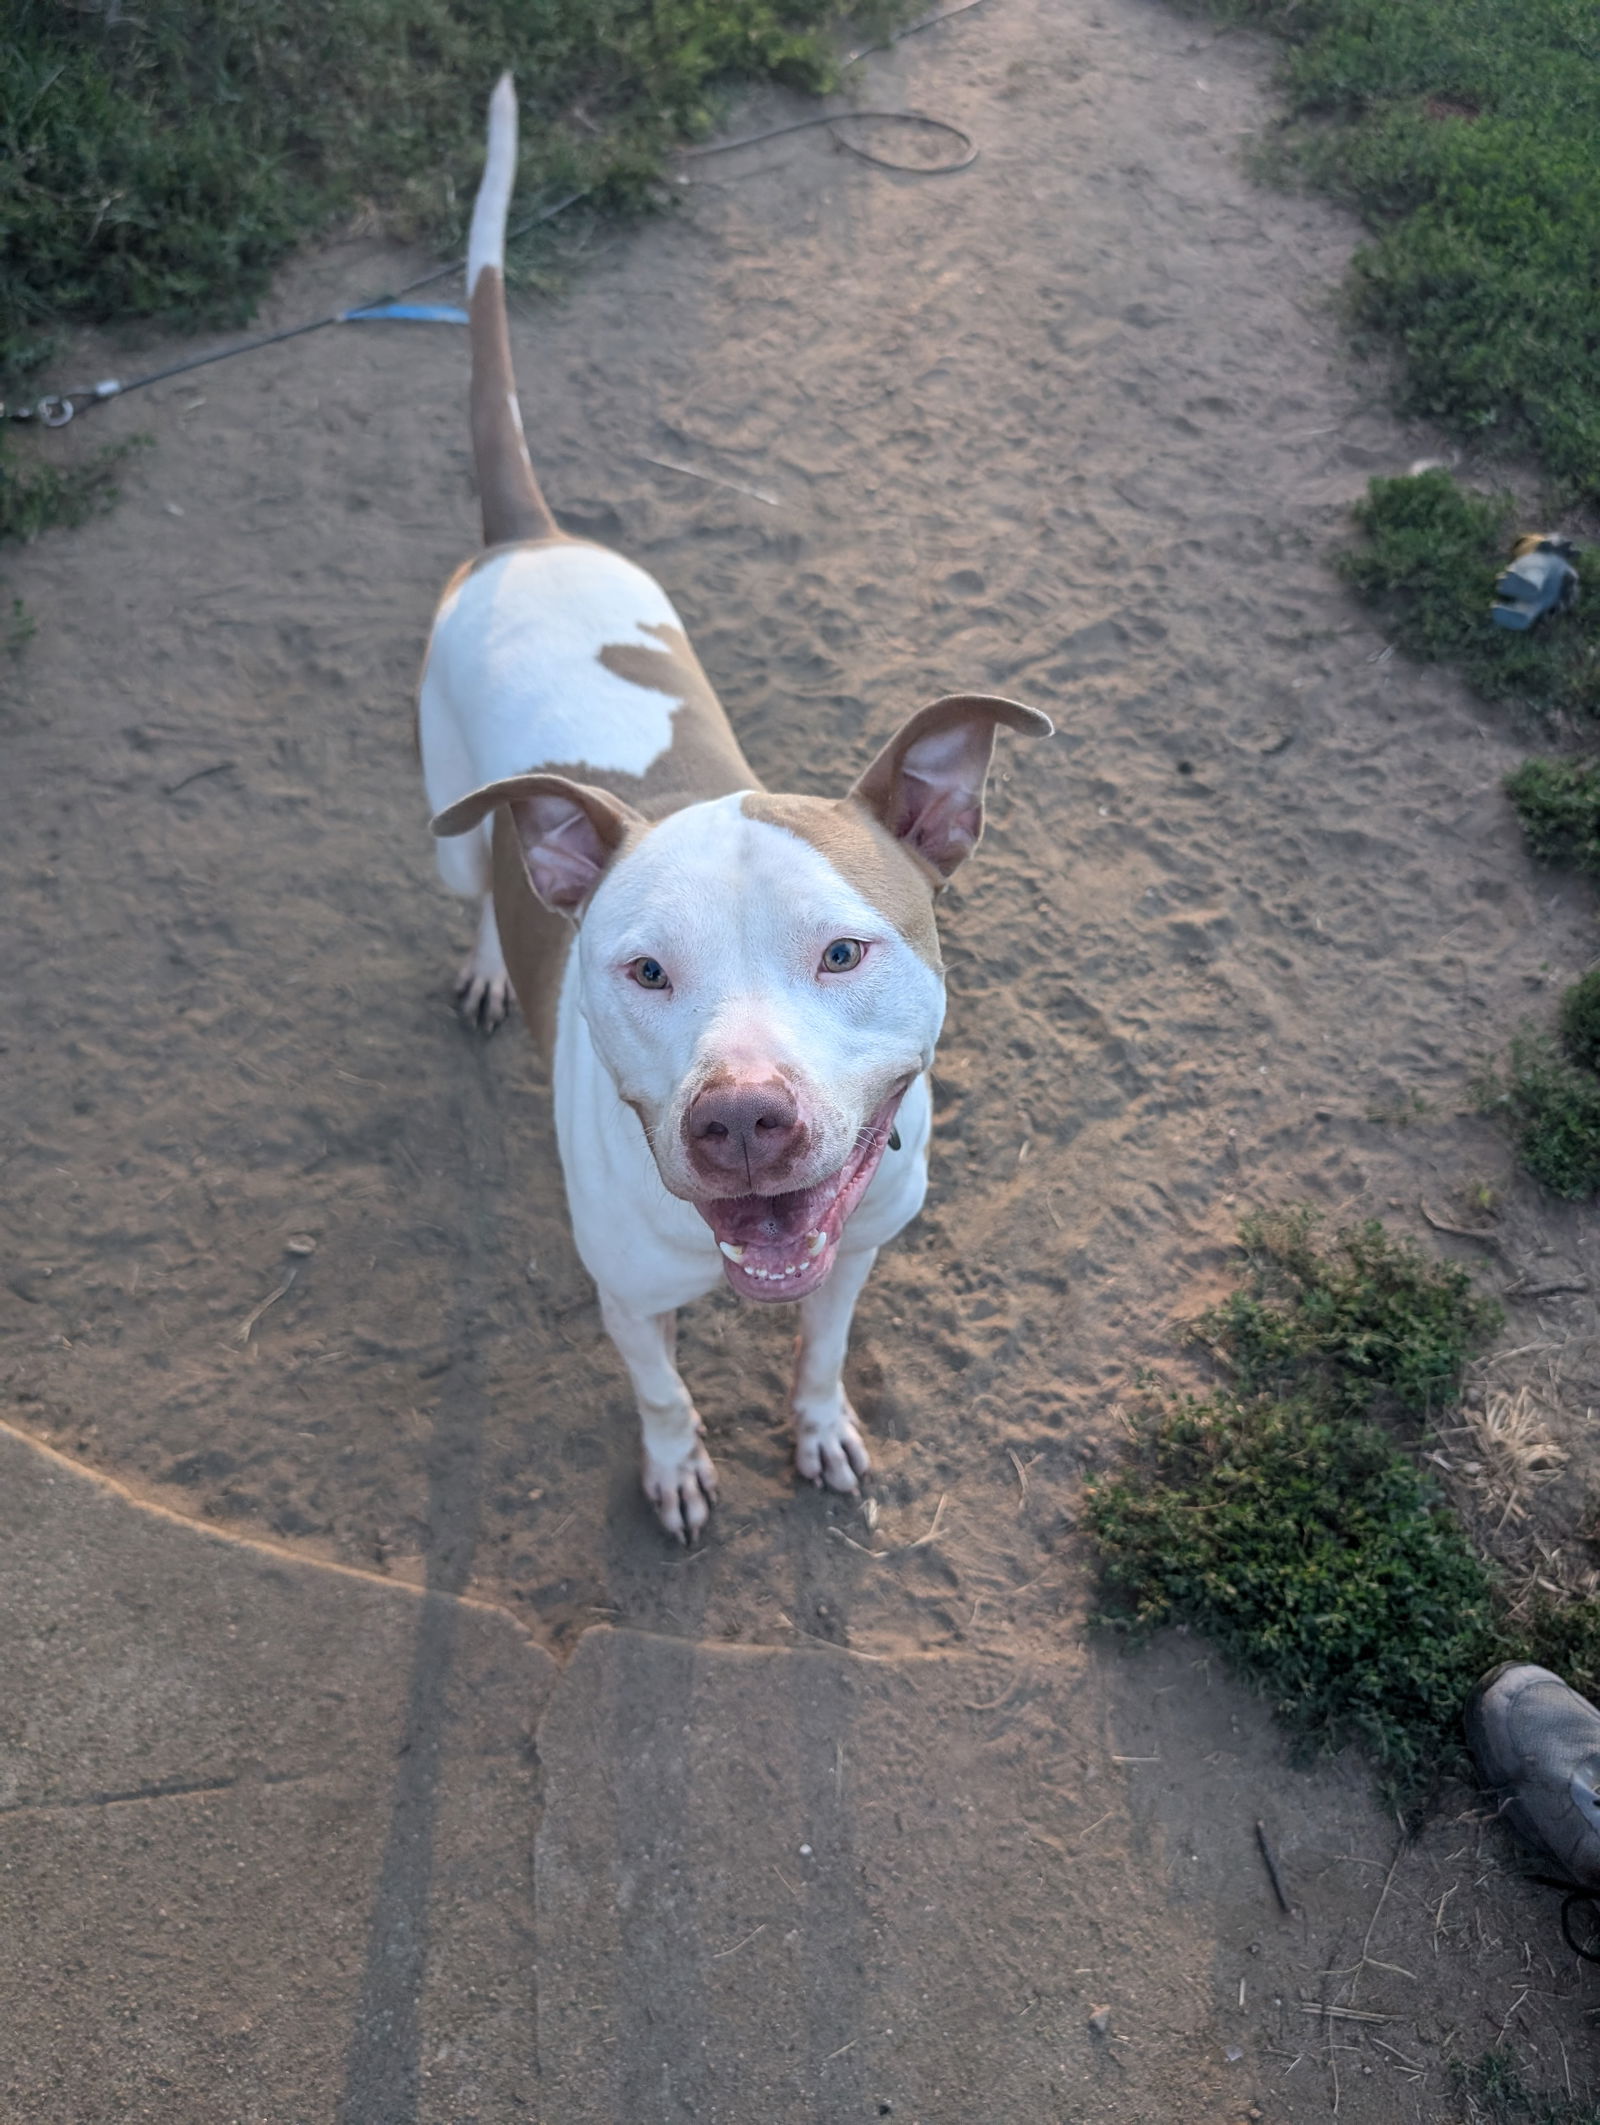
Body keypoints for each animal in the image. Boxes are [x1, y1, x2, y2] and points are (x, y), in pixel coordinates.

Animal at [418, 78, 1053, 1547]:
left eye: (846, 949)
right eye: (643, 970)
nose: (742, 1121)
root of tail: (529, 536)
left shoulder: (856, 1248)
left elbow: (822, 1350)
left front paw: (818, 1430)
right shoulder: (626, 1298)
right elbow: (661, 1393)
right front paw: (676, 1470)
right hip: (450, 819)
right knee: (473, 889)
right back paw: (485, 967)